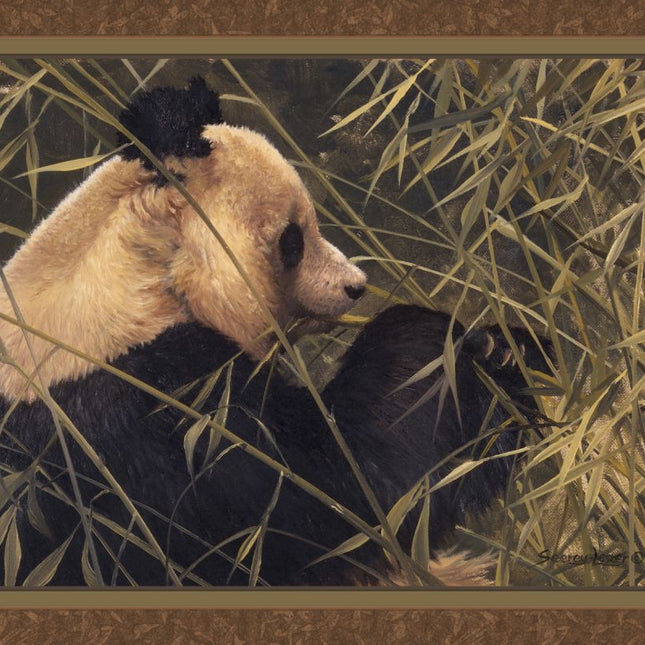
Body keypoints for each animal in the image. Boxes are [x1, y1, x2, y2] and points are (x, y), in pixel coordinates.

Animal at [0, 78, 553, 587]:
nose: (355, 286)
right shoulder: (157, 420)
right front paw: (450, 346)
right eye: (293, 239)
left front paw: (508, 350)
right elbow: (345, 497)